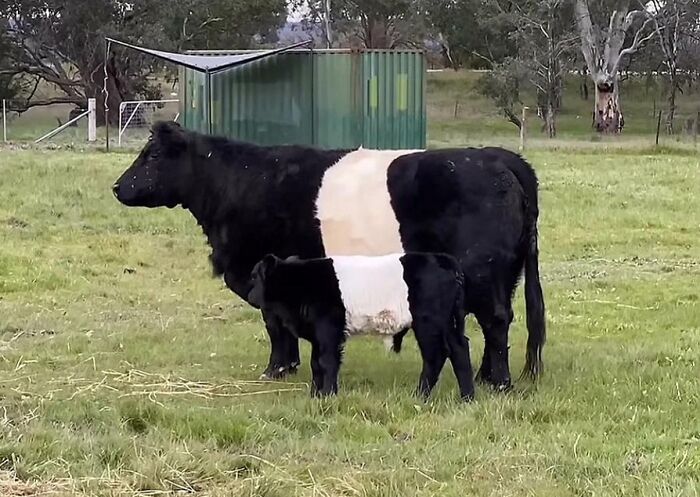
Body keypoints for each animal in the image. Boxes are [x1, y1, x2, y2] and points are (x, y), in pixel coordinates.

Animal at [247, 253, 475, 400]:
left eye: (254, 276)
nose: (249, 296)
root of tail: (444, 259)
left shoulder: (328, 329)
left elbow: (326, 361)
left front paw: (327, 395)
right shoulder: (318, 335)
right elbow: (315, 363)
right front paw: (315, 395)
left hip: (428, 321)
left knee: (436, 355)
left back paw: (420, 396)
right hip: (448, 322)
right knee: (459, 349)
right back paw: (467, 397)